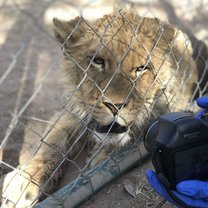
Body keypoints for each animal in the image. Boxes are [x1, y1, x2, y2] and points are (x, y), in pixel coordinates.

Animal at [1, 11, 198, 206]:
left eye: (142, 68)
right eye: (98, 61)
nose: (115, 106)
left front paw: (98, 156)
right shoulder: (71, 113)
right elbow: (52, 143)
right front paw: (25, 184)